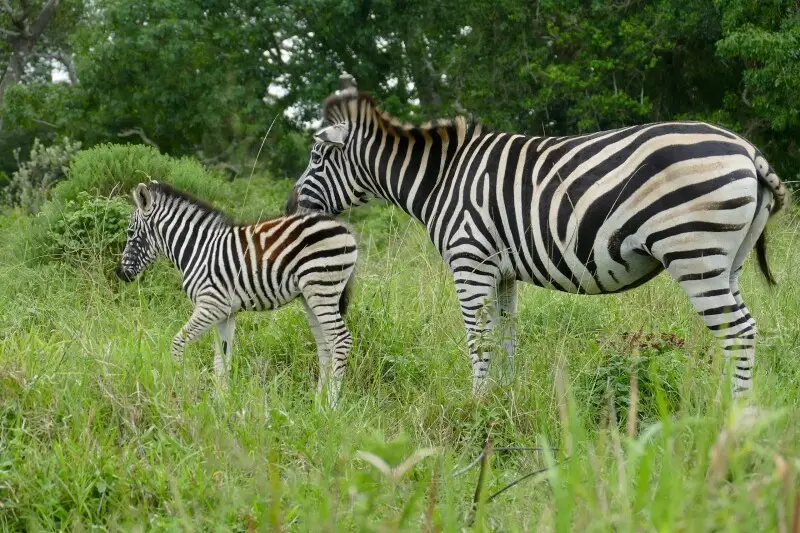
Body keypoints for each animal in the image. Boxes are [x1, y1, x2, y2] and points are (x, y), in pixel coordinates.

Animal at [115, 181, 358, 407]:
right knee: (325, 346)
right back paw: (317, 403)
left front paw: (177, 386)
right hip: (310, 296)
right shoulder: (225, 313)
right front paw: (221, 404)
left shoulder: (210, 305)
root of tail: (344, 228)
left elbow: (178, 343)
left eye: (130, 232)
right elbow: (222, 359)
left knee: (341, 339)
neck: (197, 250)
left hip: (322, 288)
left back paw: (330, 405)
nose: (120, 274)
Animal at [286, 73, 789, 401]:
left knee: (740, 331)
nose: (291, 209)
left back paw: (733, 416)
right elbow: (506, 336)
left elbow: (478, 339)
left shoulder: (470, 262)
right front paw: (504, 400)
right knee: (735, 332)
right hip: (727, 260)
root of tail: (748, 150)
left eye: (316, 156)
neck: (442, 179)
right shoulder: (502, 270)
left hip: (694, 253)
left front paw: (477, 404)